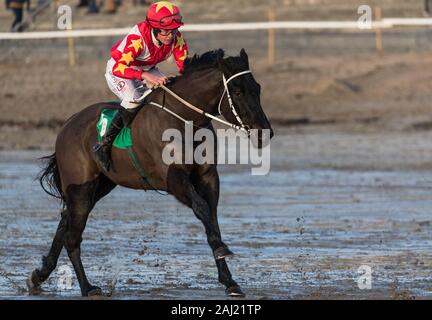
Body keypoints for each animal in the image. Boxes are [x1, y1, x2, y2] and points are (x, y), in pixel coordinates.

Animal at [27, 47, 274, 298]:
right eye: (237, 90)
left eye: (257, 88)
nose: (264, 132)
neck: (183, 119)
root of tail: (67, 125)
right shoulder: (174, 179)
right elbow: (202, 208)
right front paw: (222, 250)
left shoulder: (208, 176)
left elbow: (212, 218)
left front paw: (230, 281)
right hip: (81, 189)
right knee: (72, 237)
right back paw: (87, 287)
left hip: (100, 186)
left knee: (64, 224)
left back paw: (39, 275)